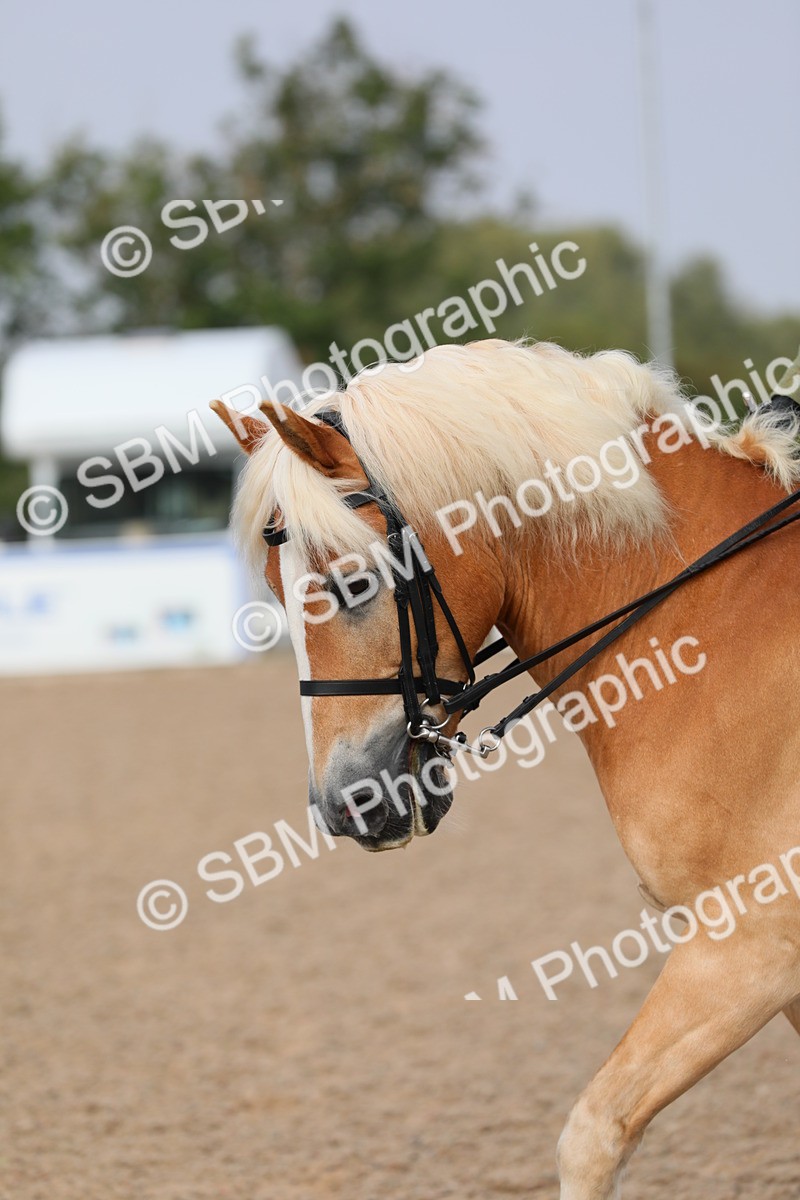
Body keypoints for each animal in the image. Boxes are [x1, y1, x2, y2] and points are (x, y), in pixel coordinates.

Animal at [211, 338, 800, 1199]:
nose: (348, 805)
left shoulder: (752, 942)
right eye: (273, 592)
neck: (714, 618)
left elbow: (591, 1133)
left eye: (354, 584)